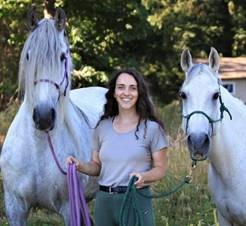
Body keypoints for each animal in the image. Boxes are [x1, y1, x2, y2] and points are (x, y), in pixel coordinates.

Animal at [0, 7, 106, 225]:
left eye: (62, 57)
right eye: (29, 56)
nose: (44, 117)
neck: (39, 146)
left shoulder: (69, 209)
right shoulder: (15, 208)